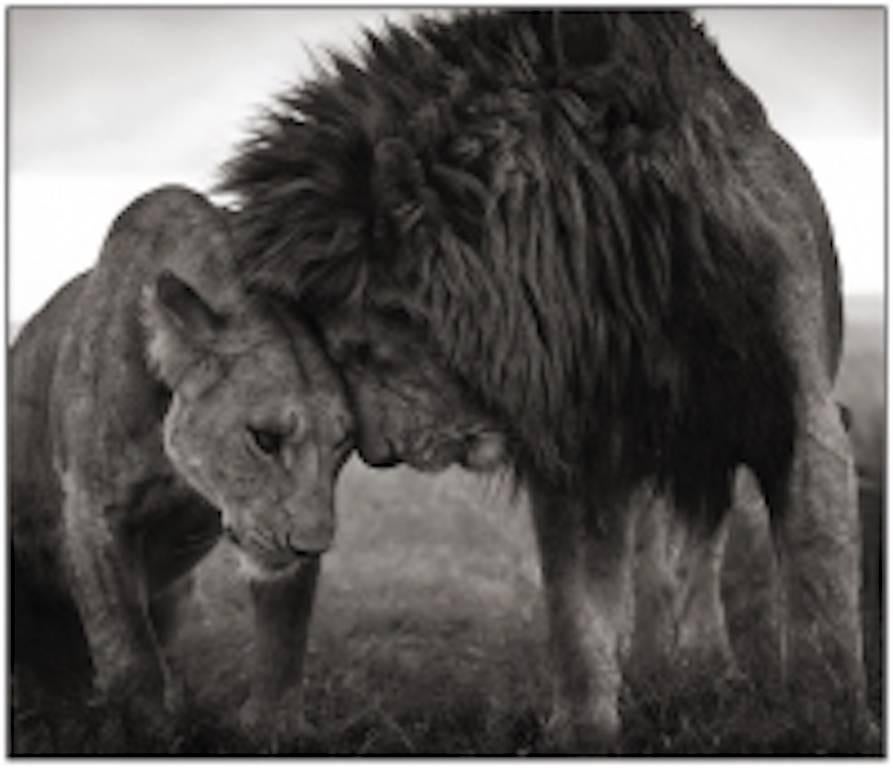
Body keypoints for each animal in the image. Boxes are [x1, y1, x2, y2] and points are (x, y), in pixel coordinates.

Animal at [11, 184, 352, 736]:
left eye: (343, 444)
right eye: (264, 438)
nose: (311, 546)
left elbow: (285, 636)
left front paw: (275, 728)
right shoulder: (92, 510)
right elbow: (129, 650)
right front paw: (146, 731)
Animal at [220, 6, 868, 752]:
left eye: (360, 350)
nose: (379, 455)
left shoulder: (797, 414)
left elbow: (820, 596)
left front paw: (829, 726)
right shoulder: (580, 443)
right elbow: (578, 610)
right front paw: (583, 729)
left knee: (700, 548)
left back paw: (705, 668)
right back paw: (665, 665)